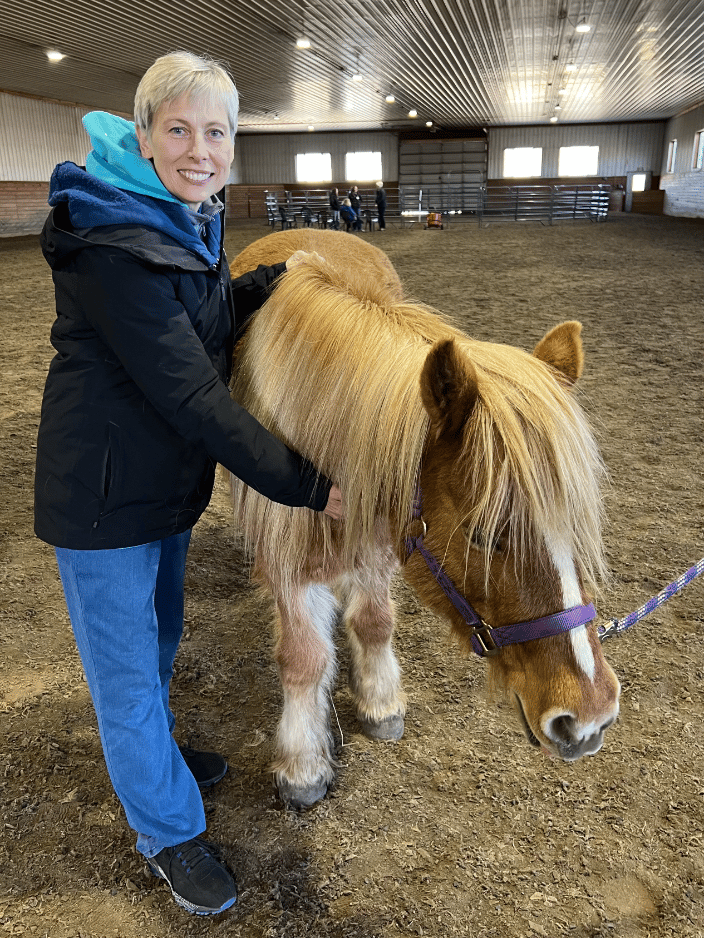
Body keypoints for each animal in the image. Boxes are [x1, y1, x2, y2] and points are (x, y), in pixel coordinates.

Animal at [228, 228, 621, 809]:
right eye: (484, 534)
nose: (590, 717)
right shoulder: (290, 561)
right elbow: (302, 658)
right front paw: (302, 766)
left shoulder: (383, 539)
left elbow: (374, 621)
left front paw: (380, 703)